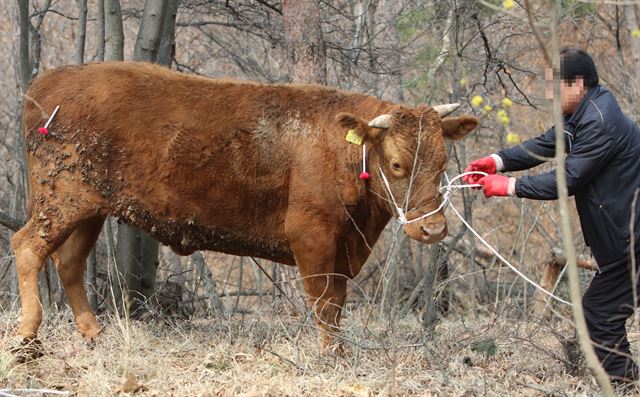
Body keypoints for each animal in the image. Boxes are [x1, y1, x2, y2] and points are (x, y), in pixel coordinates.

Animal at [12, 60, 478, 348]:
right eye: (397, 164)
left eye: (442, 162)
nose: (434, 229)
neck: (340, 150)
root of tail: (45, 84)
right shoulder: (312, 237)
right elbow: (325, 304)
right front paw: (333, 356)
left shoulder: (343, 248)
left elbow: (336, 303)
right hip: (61, 202)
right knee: (27, 246)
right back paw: (29, 334)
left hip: (89, 210)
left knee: (69, 262)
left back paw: (94, 334)